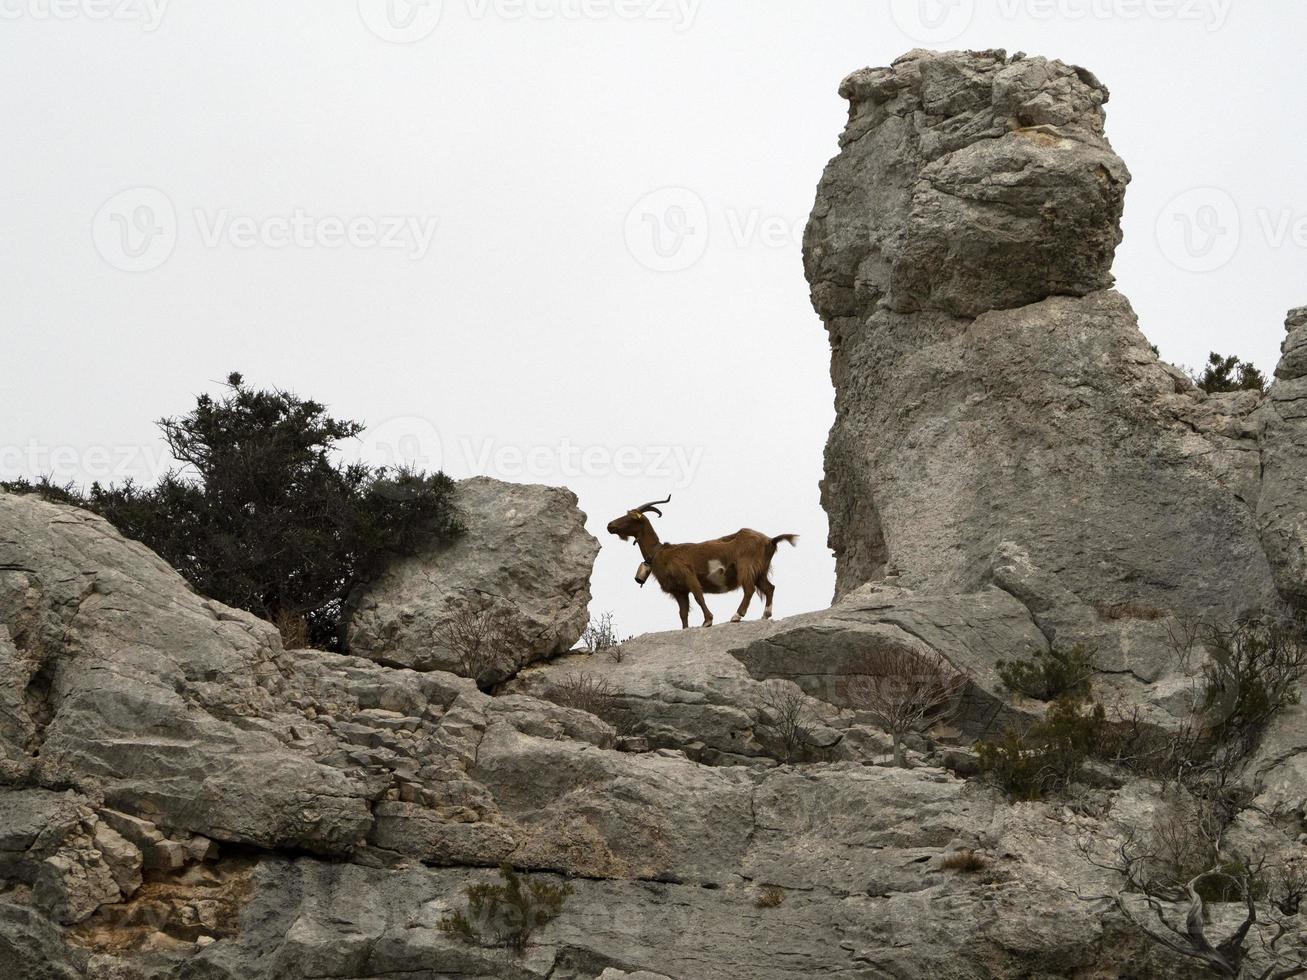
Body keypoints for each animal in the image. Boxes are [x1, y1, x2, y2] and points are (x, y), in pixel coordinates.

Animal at [603, 493, 794, 632]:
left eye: (630, 517)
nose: (610, 525)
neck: (659, 553)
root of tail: (770, 540)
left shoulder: (688, 576)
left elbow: (698, 596)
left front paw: (708, 621)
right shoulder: (679, 590)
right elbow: (683, 612)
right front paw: (685, 629)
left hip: (746, 567)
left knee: (749, 589)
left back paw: (736, 616)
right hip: (760, 570)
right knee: (769, 587)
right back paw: (765, 615)